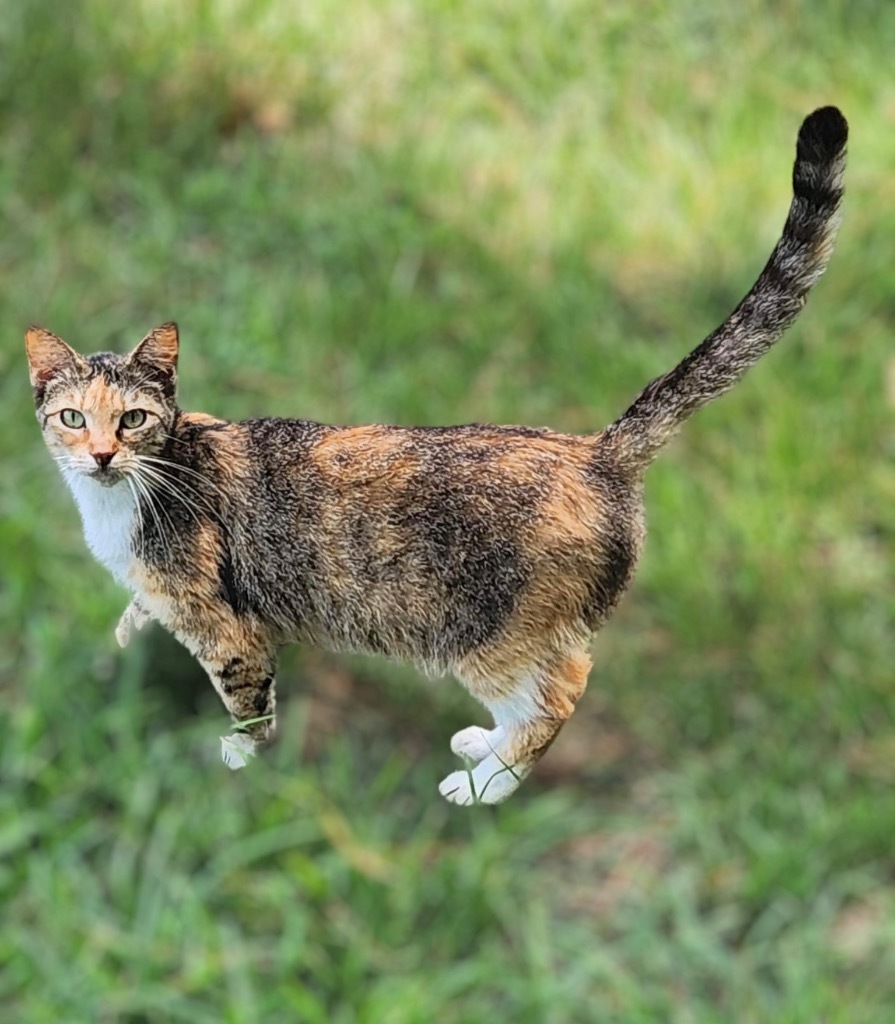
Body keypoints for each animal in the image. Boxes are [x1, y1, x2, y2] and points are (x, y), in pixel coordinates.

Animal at [26, 105, 843, 806]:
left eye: (132, 420)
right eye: (73, 418)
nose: (101, 455)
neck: (123, 500)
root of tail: (596, 453)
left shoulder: (230, 630)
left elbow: (248, 700)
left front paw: (237, 754)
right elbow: (140, 611)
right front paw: (126, 631)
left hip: (487, 633)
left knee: (563, 689)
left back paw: (486, 786)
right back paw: (484, 750)